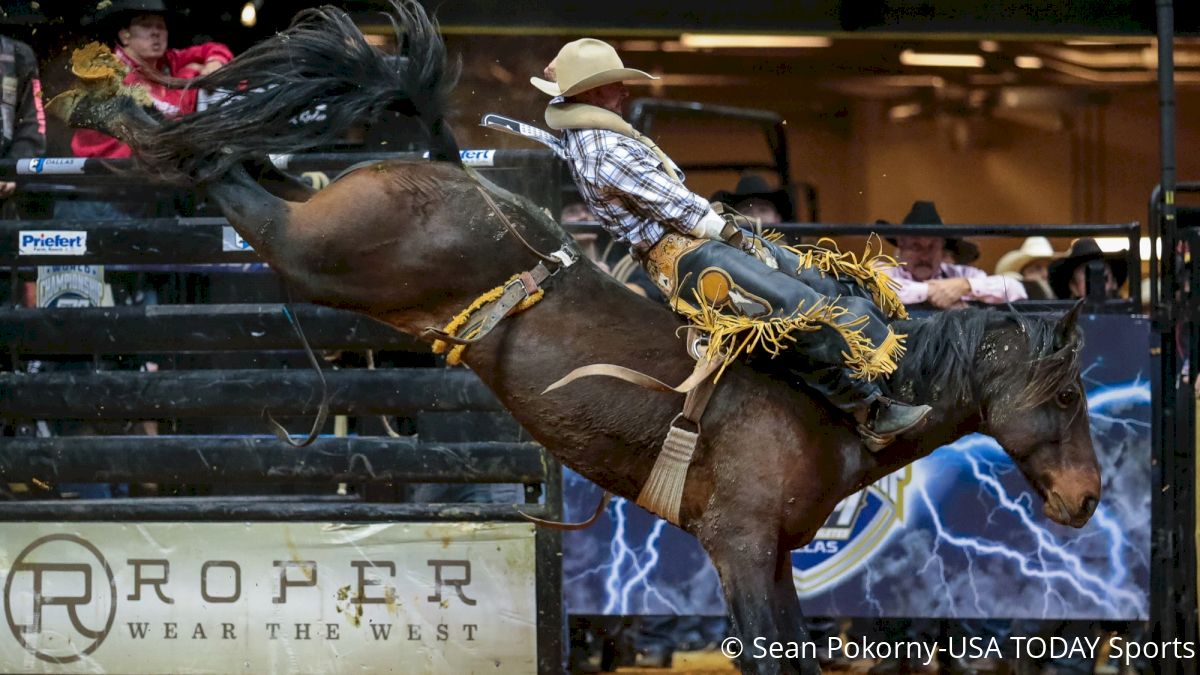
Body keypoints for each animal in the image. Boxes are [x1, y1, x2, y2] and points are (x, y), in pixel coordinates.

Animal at [51, 2, 1099, 667]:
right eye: (1068, 393)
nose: (1086, 499)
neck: (832, 407)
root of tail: (451, 169)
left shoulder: (770, 555)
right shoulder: (742, 542)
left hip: (320, 229)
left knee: (251, 164)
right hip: (319, 256)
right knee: (226, 179)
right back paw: (112, 104)